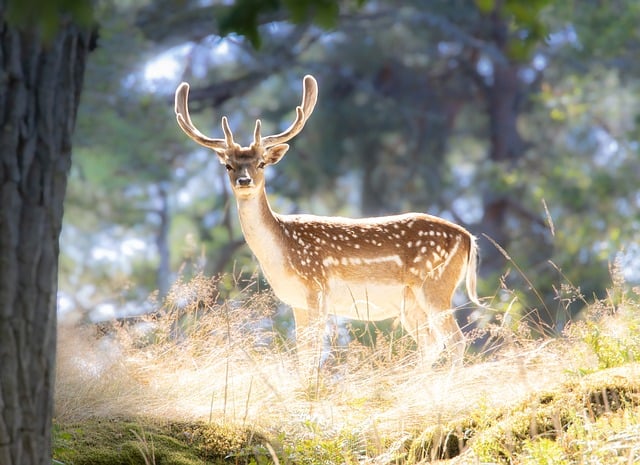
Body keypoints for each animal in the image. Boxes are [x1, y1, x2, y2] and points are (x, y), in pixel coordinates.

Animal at [174, 74, 482, 370]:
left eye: (261, 163)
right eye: (228, 165)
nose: (244, 181)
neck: (280, 253)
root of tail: (468, 238)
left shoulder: (317, 288)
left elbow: (312, 353)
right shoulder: (296, 302)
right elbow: (301, 354)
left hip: (435, 285)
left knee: (456, 341)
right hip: (410, 303)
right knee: (432, 343)